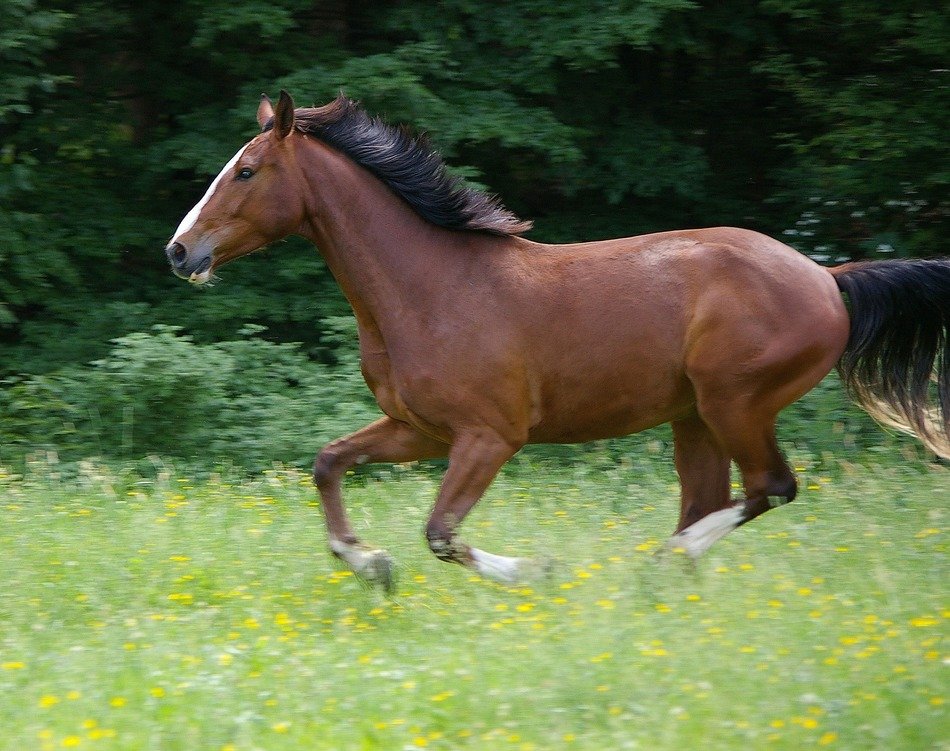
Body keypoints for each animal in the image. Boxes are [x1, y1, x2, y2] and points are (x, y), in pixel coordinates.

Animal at [165, 90, 950, 590]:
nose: (179, 251)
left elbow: (441, 532)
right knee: (715, 499)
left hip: (736, 403)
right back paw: (667, 577)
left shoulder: (490, 436)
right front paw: (371, 564)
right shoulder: (419, 429)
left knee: (771, 488)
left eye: (246, 171)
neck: (431, 288)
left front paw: (535, 571)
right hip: (694, 417)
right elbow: (329, 463)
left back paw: (657, 562)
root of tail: (826, 277)